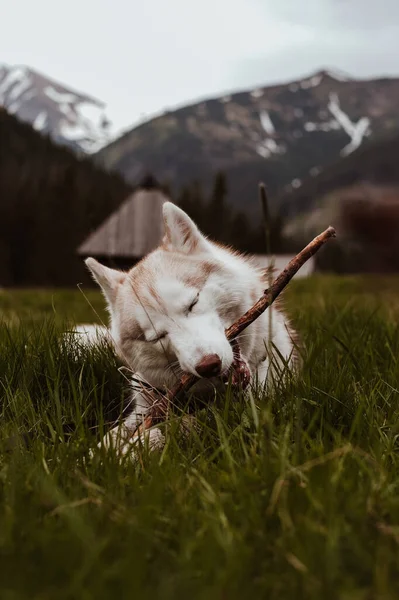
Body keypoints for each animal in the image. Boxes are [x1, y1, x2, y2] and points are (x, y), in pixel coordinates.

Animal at [86, 202, 298, 454]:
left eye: (193, 303)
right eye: (157, 337)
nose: (208, 365)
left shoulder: (239, 408)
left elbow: (177, 426)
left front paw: (133, 450)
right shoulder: (146, 407)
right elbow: (112, 435)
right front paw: (97, 454)